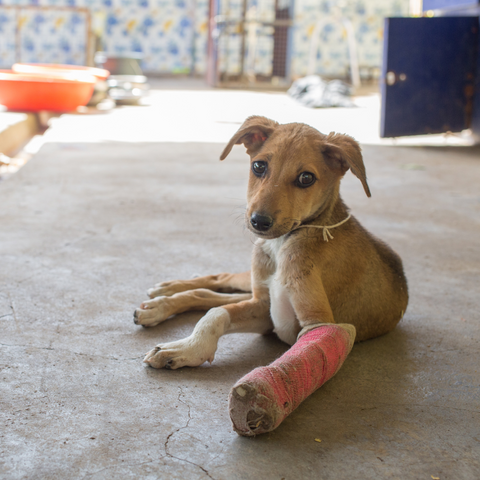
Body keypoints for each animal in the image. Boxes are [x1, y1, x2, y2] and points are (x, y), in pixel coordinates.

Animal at [135, 115, 408, 368]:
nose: (259, 222)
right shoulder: (265, 307)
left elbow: (218, 312)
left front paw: (187, 349)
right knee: (219, 282)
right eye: (258, 166)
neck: (283, 244)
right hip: (254, 284)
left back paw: (162, 301)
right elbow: (215, 314)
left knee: (212, 295)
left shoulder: (310, 323)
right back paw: (165, 294)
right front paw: (188, 347)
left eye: (306, 178)